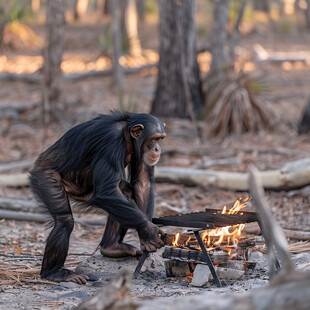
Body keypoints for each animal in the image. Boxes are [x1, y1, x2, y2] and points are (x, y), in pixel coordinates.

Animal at [29, 111, 167, 284]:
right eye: (153, 139)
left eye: (161, 138)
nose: (157, 148)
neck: (127, 135)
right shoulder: (111, 140)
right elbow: (106, 191)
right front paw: (150, 232)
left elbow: (143, 183)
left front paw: (145, 239)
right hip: (45, 178)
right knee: (64, 221)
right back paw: (54, 273)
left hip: (85, 192)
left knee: (123, 194)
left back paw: (111, 247)